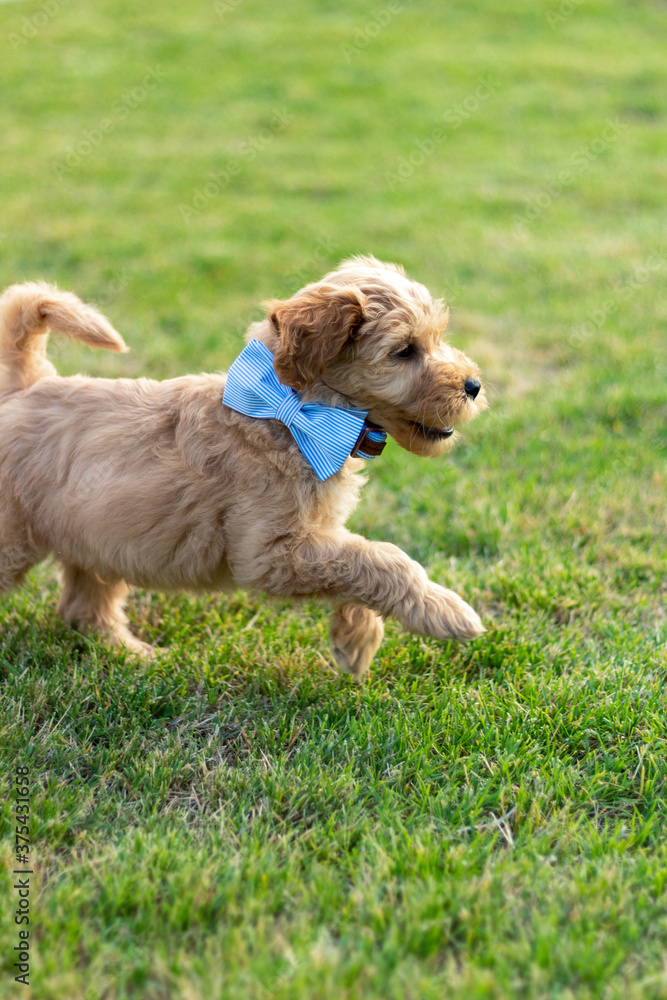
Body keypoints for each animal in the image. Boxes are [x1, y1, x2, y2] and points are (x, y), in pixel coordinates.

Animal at [1, 260, 490, 680]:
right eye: (404, 351)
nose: (474, 385)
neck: (292, 414)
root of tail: (27, 384)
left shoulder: (316, 535)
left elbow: (359, 560)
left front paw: (355, 640)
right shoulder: (269, 553)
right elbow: (382, 558)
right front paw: (446, 613)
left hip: (97, 536)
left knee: (84, 607)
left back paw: (131, 654)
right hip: (17, 538)